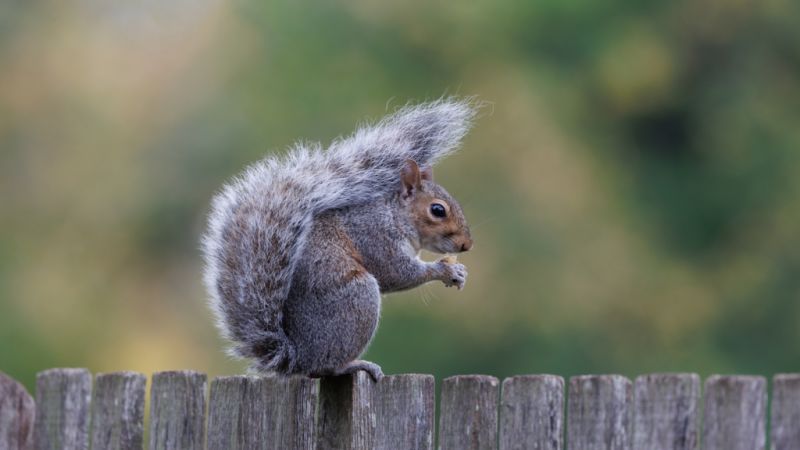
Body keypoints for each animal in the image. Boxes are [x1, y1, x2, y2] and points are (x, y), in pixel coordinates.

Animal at [202, 98, 476, 380]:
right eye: (437, 210)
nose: (466, 245)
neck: (394, 216)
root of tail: (298, 358)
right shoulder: (374, 236)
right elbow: (396, 273)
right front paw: (444, 270)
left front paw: (460, 272)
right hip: (357, 299)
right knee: (326, 366)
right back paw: (354, 364)